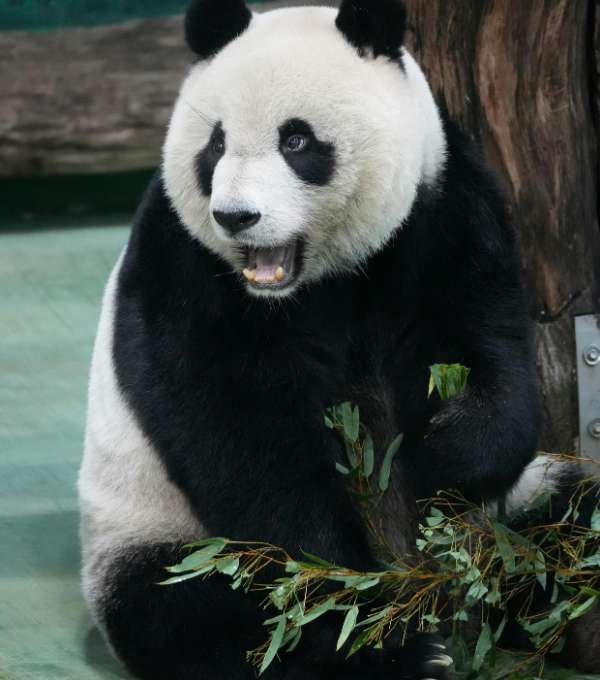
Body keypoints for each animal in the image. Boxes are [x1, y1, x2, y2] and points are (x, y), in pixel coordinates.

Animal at [77, 0, 577, 678]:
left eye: (296, 141)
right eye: (215, 144)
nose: (236, 217)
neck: (319, 283)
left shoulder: (444, 208)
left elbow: (488, 341)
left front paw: (448, 451)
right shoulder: (185, 263)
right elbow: (235, 431)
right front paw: (340, 579)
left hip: (524, 508)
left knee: (566, 513)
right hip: (153, 529)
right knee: (199, 613)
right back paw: (400, 652)